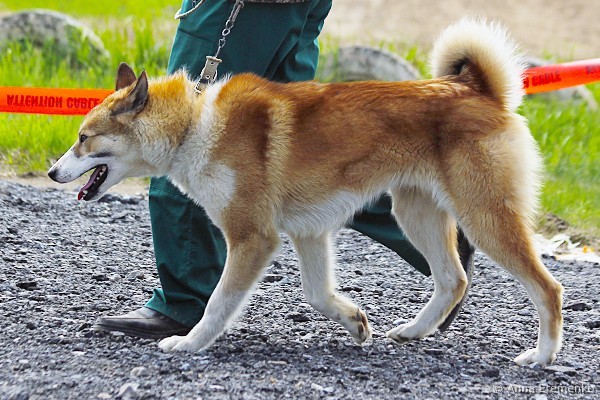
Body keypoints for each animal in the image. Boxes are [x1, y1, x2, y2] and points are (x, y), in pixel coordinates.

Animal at [48, 18, 563, 366]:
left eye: (84, 137)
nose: (53, 171)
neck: (194, 125)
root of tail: (478, 90)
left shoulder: (253, 238)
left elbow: (217, 303)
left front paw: (189, 342)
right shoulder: (308, 234)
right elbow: (317, 294)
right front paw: (355, 321)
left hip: (484, 216)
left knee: (547, 287)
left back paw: (541, 356)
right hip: (414, 212)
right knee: (453, 278)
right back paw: (414, 331)